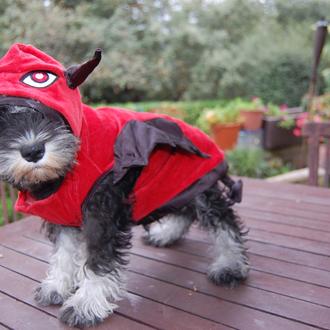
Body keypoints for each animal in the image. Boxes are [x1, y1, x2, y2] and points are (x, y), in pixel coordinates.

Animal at [0, 43, 249, 328]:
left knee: (223, 220)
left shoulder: (102, 214)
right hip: (170, 186)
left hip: (199, 182)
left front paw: (86, 304)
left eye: (48, 114)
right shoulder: (62, 214)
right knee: (185, 212)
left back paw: (231, 264)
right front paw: (57, 286)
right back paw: (167, 234)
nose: (33, 151)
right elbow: (64, 252)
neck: (71, 164)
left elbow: (98, 260)